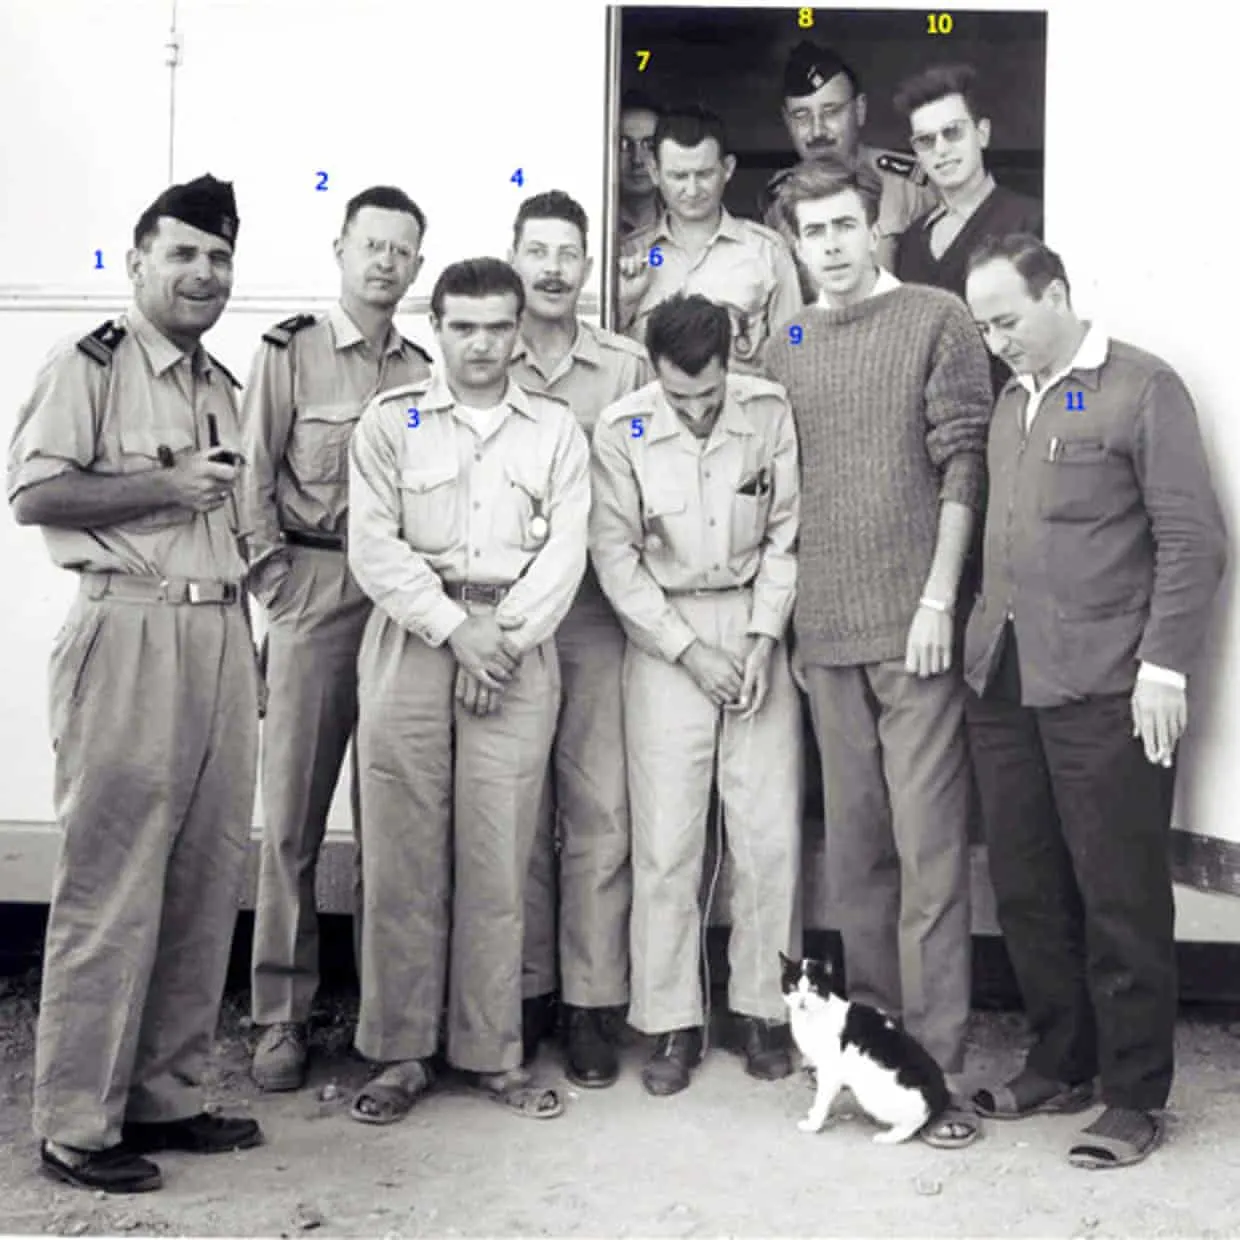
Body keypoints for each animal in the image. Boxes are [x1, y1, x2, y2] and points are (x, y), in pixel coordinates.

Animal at [778, 952, 952, 1145]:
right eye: (793, 986)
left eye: (813, 988)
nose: (801, 1002)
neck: (812, 1017)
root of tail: (941, 1094)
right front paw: (813, 1113)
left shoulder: (830, 1070)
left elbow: (823, 1098)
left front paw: (814, 1123)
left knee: (911, 1125)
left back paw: (887, 1137)